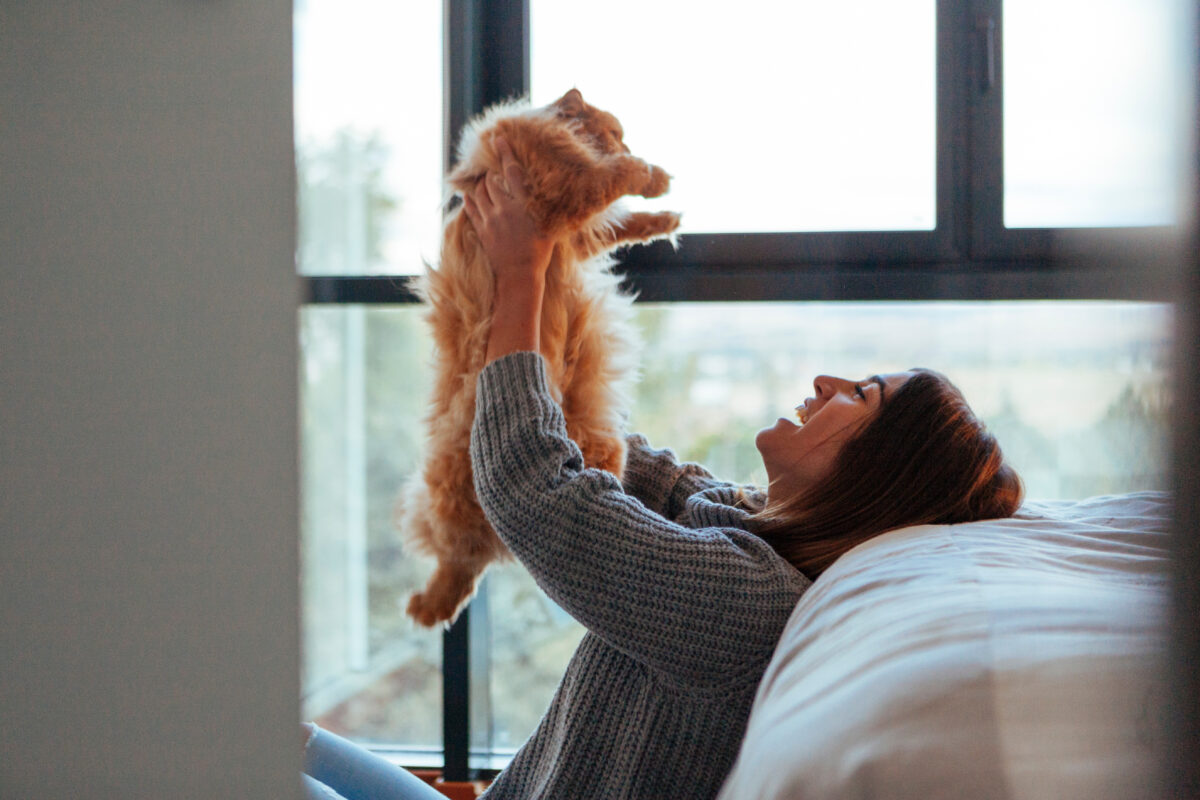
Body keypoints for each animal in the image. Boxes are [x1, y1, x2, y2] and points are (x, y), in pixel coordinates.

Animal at [396, 87, 676, 623]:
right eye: (615, 132)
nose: (626, 141)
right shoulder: (562, 195)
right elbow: (616, 179)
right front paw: (653, 175)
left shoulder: (571, 227)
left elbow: (621, 222)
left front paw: (665, 218)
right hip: (454, 496)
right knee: (459, 559)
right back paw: (431, 607)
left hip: (604, 450)